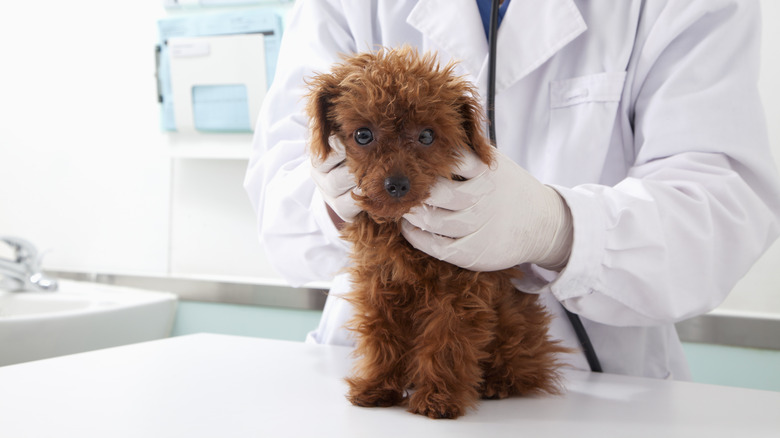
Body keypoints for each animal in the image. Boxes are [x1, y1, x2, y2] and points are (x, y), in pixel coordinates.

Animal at [304, 46, 560, 420]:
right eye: (363, 135)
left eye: (427, 136)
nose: (396, 184)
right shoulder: (378, 285)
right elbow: (381, 338)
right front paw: (377, 387)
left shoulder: (459, 291)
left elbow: (447, 342)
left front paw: (438, 399)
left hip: (516, 322)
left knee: (526, 365)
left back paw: (498, 383)